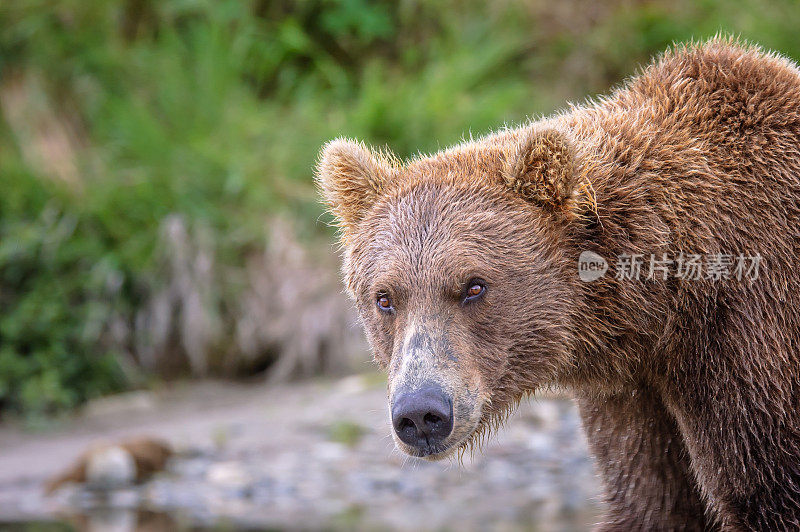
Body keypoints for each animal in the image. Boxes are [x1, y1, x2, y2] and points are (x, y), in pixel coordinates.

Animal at [318, 38, 800, 532]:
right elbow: (654, 500)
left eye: (474, 286)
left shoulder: (747, 342)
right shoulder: (632, 396)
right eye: (385, 298)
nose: (420, 413)